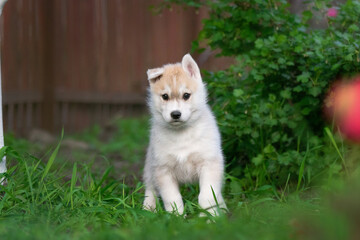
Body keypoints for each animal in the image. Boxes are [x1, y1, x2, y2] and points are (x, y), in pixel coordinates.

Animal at [143, 53, 225, 215]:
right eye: (165, 96)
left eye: (186, 95)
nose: (175, 114)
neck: (182, 134)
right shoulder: (163, 170)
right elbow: (172, 199)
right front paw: (176, 217)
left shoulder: (209, 164)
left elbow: (207, 196)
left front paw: (209, 216)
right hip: (150, 167)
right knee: (150, 188)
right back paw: (148, 209)